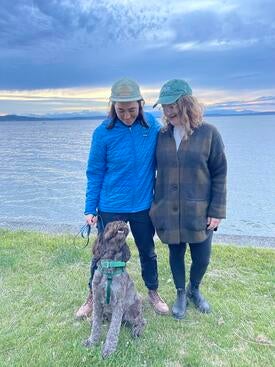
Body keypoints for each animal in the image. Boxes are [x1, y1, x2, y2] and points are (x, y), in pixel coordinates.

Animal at [83, 221, 146, 360]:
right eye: (109, 225)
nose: (121, 222)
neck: (109, 265)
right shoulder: (96, 300)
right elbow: (96, 325)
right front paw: (92, 341)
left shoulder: (118, 304)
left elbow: (113, 330)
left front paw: (108, 350)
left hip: (131, 311)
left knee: (141, 320)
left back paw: (137, 330)